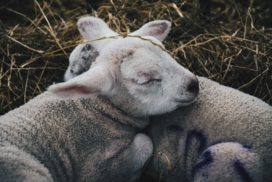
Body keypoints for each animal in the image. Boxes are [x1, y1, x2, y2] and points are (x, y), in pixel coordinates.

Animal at [0, 16, 199, 181]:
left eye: (166, 52)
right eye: (145, 79)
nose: (194, 84)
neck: (97, 108)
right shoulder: (95, 170)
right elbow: (145, 142)